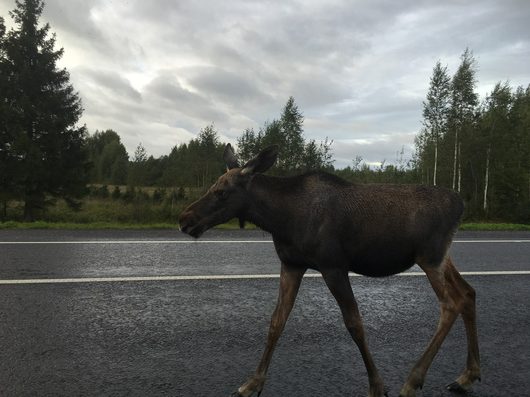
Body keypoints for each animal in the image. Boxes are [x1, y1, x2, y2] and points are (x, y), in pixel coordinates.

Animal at [177, 145, 478, 396]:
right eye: (212, 186)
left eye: (221, 192)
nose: (184, 219)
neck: (280, 219)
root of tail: (461, 205)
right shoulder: (292, 264)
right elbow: (276, 322)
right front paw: (252, 383)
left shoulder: (333, 266)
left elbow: (354, 323)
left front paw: (377, 386)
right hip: (441, 258)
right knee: (467, 293)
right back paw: (467, 375)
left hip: (430, 257)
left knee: (450, 304)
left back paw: (413, 381)